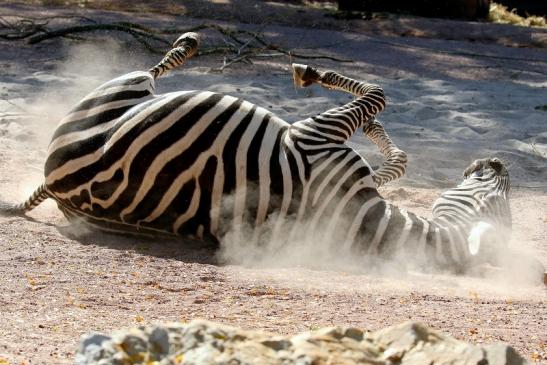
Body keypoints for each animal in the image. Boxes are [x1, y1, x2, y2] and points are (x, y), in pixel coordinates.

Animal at [0, 32, 512, 270]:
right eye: (503, 197)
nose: (498, 161)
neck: (371, 224)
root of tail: (51, 184)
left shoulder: (313, 135)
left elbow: (378, 91)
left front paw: (310, 73)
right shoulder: (322, 139)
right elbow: (395, 150)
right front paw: (377, 131)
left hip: (121, 90)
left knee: (152, 69)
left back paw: (188, 42)